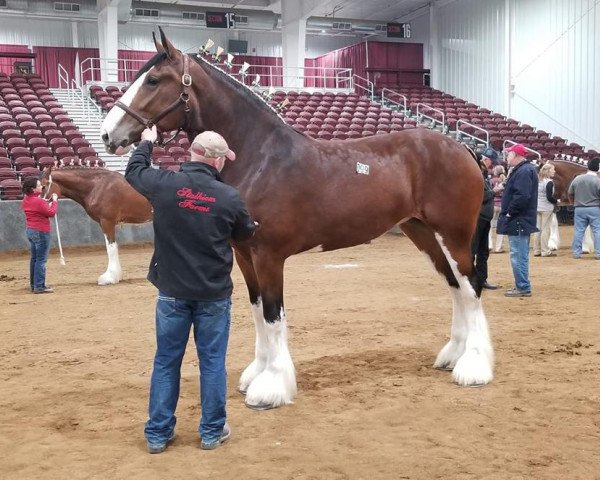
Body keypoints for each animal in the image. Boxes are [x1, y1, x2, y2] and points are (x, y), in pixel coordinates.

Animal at [98, 27, 492, 408]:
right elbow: (258, 312)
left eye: (153, 80)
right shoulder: (245, 257)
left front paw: (271, 387)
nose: (107, 135)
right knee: (456, 288)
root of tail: (462, 147)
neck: (260, 158)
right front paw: (256, 373)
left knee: (471, 288)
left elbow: (274, 316)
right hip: (424, 234)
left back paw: (473, 368)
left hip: (453, 235)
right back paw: (453, 356)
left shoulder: (269, 256)